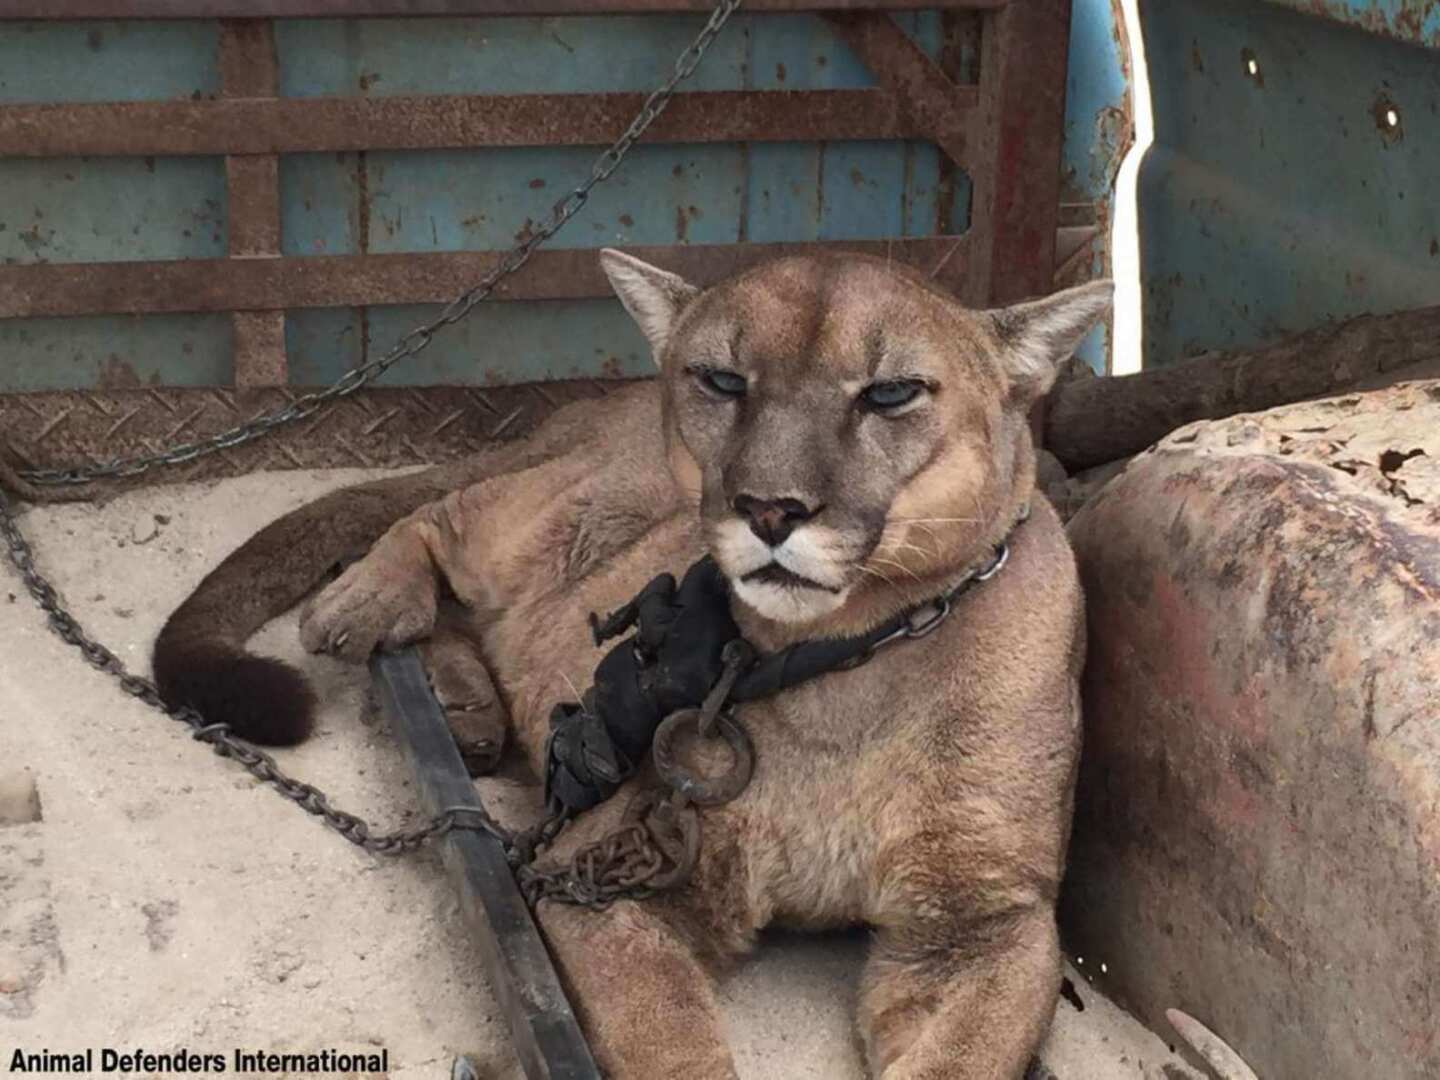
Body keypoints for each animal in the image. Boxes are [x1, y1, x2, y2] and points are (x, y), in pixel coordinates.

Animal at [152, 250, 1111, 1079]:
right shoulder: (602, 873)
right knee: (440, 515)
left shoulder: (984, 923)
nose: (770, 508)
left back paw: (466, 709)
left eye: (891, 392)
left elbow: (964, 1058)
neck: (843, 674)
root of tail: (591, 406)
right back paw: (367, 607)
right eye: (722, 380)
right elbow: (670, 1045)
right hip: (557, 517)